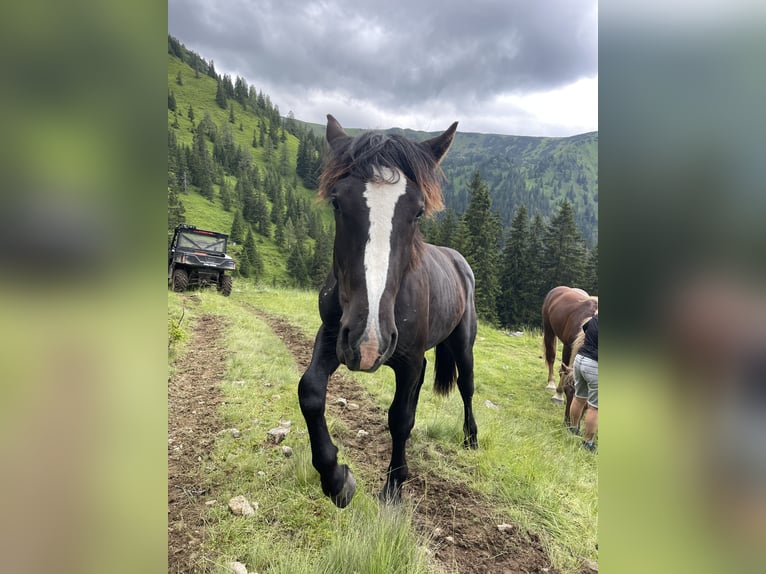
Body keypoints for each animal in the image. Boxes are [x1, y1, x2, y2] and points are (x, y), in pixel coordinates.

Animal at [300, 115, 480, 510]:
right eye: (337, 203)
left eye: (418, 211)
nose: (369, 342)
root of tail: (458, 260)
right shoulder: (335, 337)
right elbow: (311, 392)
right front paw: (337, 479)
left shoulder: (406, 358)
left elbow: (400, 419)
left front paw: (394, 487)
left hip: (462, 344)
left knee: (466, 386)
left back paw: (471, 438)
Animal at [544, 288, 596, 424]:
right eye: (567, 392)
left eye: (585, 401)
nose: (568, 422)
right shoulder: (568, 346)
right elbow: (565, 369)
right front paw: (558, 396)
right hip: (549, 330)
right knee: (551, 357)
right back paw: (551, 384)